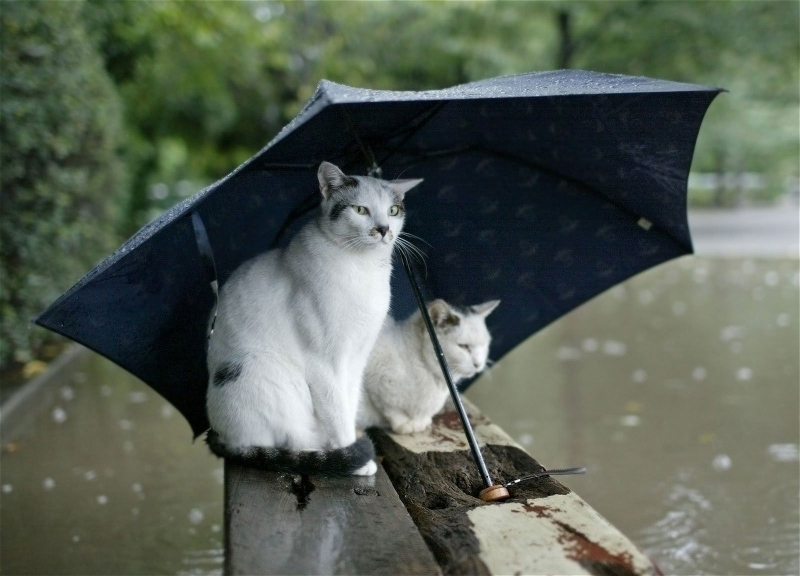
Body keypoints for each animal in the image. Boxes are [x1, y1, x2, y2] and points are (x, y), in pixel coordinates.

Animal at [205, 160, 424, 474]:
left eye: (393, 211)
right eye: (360, 210)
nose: (383, 229)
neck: (363, 268)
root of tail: (223, 437)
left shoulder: (357, 358)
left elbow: (348, 403)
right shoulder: (324, 363)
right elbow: (336, 412)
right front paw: (354, 457)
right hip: (267, 373)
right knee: (294, 441)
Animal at [358, 300, 496, 434]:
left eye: (485, 345)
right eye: (463, 346)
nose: (479, 364)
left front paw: (420, 422)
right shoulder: (375, 381)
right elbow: (391, 408)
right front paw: (404, 424)